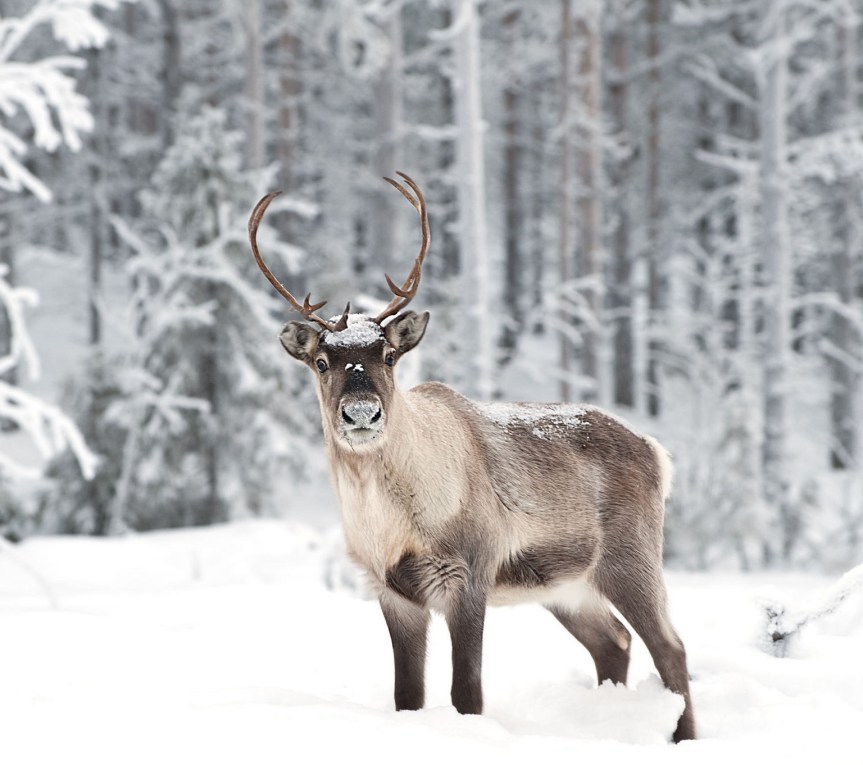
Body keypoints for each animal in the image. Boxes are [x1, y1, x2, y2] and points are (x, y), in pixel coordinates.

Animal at [248, 173, 696, 743]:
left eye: (388, 356)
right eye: (322, 361)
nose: (362, 414)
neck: (390, 521)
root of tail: (656, 451)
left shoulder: (467, 574)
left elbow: (468, 693)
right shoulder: (393, 592)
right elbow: (407, 696)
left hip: (630, 558)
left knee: (671, 647)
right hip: (567, 587)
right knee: (614, 642)